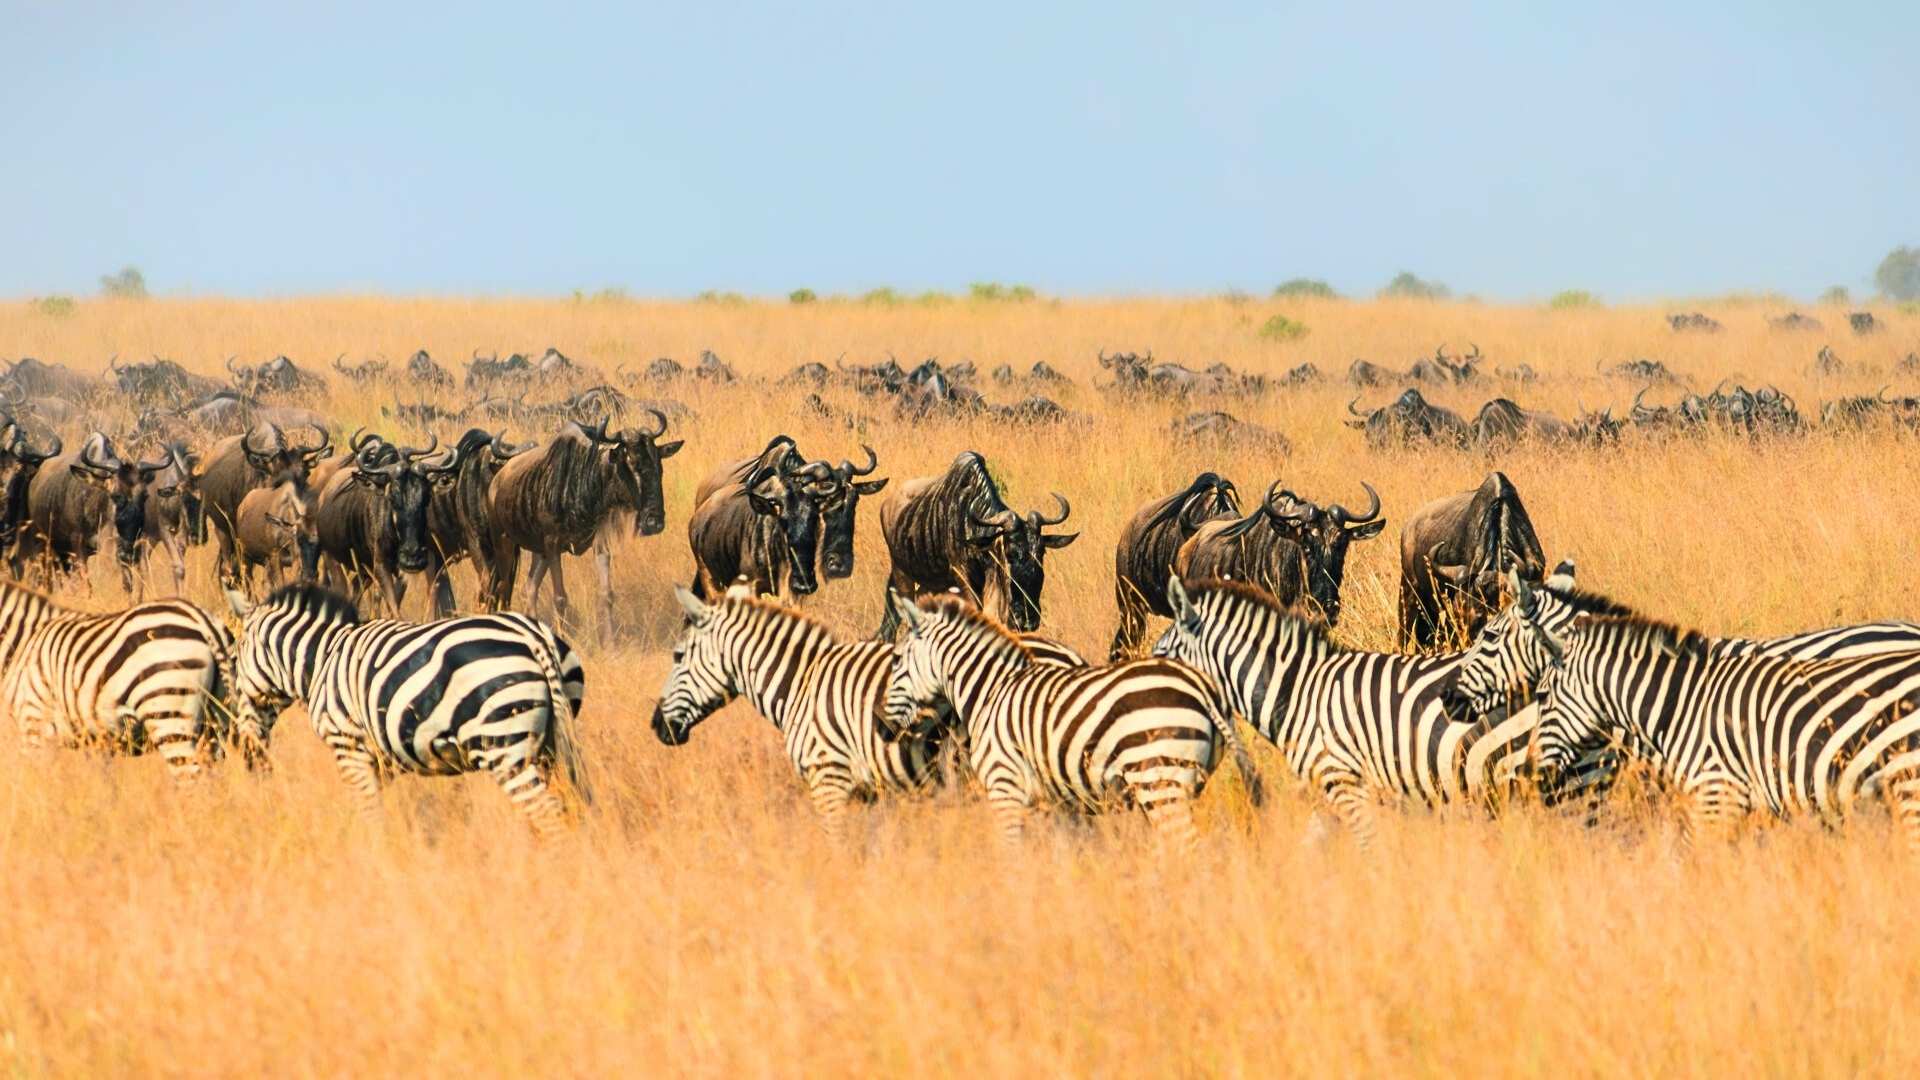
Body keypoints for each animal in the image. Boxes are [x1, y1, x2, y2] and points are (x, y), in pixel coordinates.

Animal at [0, 580, 236, 781]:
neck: (23, 645)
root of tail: (203, 621)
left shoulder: (34, 726)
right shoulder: (97, 743)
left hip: (169, 715)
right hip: (215, 724)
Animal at [225, 584, 590, 836]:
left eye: (236, 658)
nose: (247, 751)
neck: (321, 660)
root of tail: (532, 636)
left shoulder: (348, 747)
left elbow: (368, 814)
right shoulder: (378, 760)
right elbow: (381, 812)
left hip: (502, 744)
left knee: (548, 811)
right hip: (547, 744)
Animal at [652, 583, 1087, 840]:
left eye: (677, 656)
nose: (657, 727)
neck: (801, 684)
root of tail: (1072, 657)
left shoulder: (829, 778)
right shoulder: (870, 794)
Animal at [882, 590, 1261, 847]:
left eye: (897, 658)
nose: (882, 724)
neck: (991, 688)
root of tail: (1203, 688)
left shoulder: (1005, 787)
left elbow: (1013, 855)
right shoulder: (1056, 802)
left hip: (1158, 778)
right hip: (1186, 782)